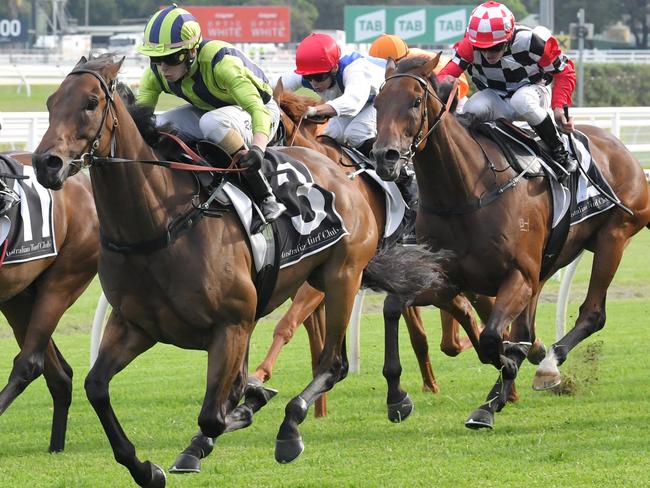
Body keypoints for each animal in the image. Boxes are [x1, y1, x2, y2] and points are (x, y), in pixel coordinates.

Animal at [31, 56, 446, 484]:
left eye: (91, 103)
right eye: (51, 102)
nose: (47, 163)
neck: (158, 225)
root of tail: (341, 174)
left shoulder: (231, 325)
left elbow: (214, 415)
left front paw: (238, 413)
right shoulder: (135, 326)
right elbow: (96, 387)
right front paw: (145, 468)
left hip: (342, 276)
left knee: (335, 363)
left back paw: (294, 427)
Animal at [370, 57, 648, 428]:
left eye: (416, 101)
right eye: (377, 102)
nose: (385, 156)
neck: (465, 192)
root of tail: (621, 149)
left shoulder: (518, 274)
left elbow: (492, 340)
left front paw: (508, 373)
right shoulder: (446, 277)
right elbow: (393, 306)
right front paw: (397, 397)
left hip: (613, 237)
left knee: (593, 313)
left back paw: (546, 367)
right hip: (548, 264)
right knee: (528, 326)